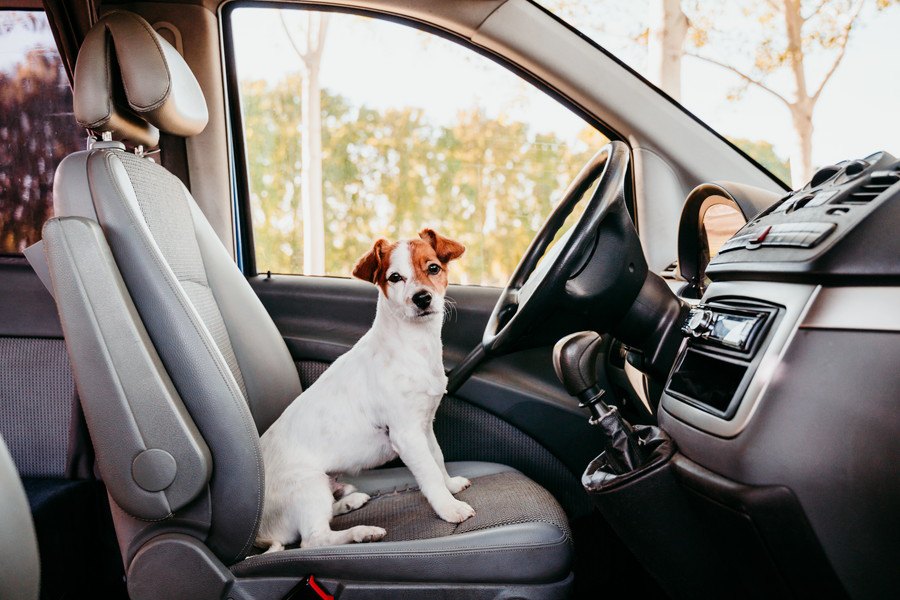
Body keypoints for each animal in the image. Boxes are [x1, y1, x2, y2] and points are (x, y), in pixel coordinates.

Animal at [256, 227, 474, 552]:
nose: (422, 298)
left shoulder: (425, 427)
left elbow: (438, 460)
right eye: (395, 277)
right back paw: (363, 532)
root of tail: (259, 531)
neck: (412, 345)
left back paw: (349, 502)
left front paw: (451, 486)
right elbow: (429, 474)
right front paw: (449, 507)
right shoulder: (406, 435)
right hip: (308, 486)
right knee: (314, 540)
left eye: (433, 268)